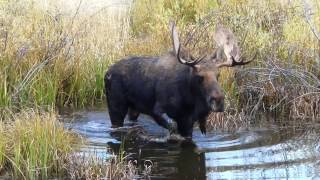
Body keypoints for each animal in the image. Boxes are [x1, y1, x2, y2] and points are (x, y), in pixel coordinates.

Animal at [104, 21, 254, 139]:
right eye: (199, 76)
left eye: (218, 75)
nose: (218, 100)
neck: (189, 100)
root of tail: (106, 73)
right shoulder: (157, 110)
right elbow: (171, 128)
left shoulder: (188, 121)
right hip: (116, 106)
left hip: (133, 109)